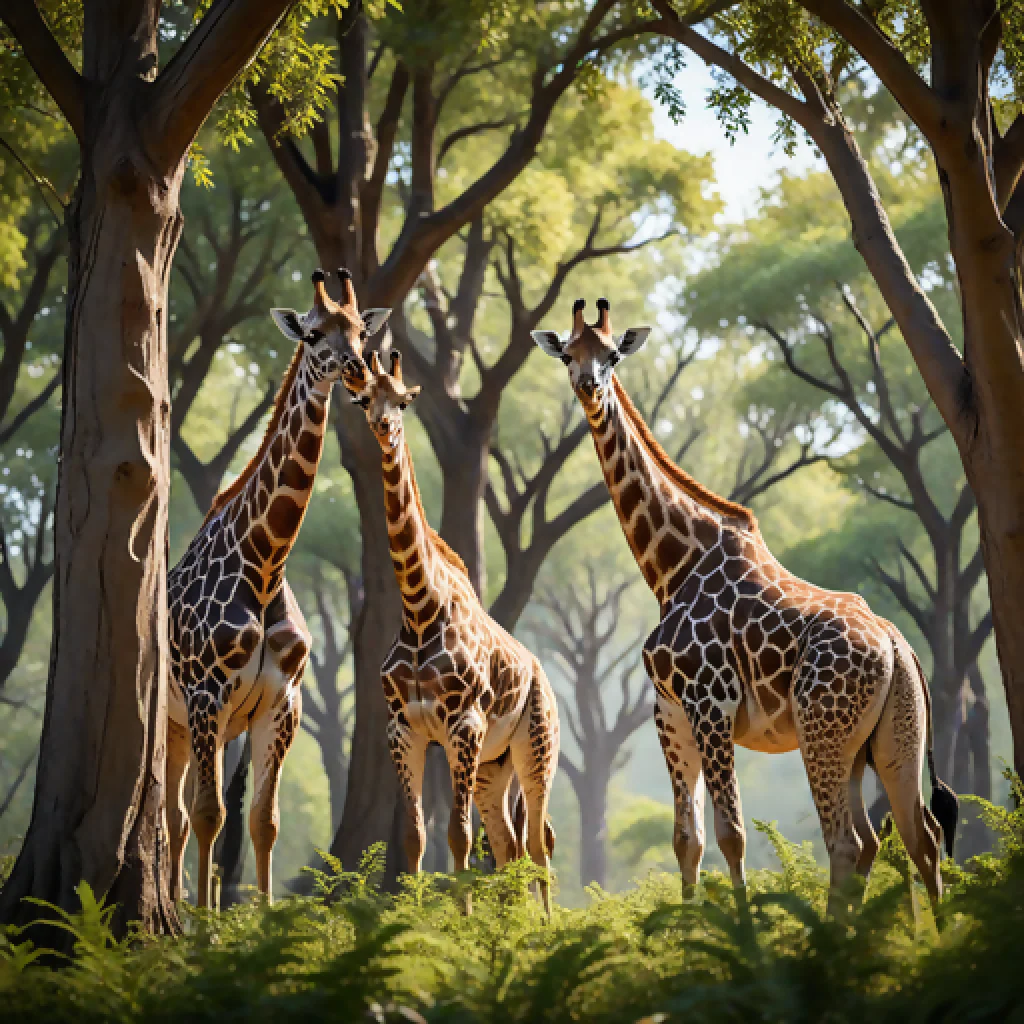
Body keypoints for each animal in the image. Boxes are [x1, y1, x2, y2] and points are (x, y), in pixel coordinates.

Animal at [167, 268, 391, 908]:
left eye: (361, 329)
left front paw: (262, 920)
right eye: (314, 334)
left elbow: (262, 820)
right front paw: (204, 926)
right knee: (178, 815)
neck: (266, 565)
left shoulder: (281, 703)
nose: (357, 368)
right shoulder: (207, 694)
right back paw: (175, 909)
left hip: (201, 727)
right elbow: (210, 814)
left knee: (185, 816)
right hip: (173, 717)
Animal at [343, 350, 560, 914]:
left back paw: (545, 924)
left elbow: (457, 837)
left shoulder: (464, 723)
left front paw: (462, 924)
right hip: (492, 766)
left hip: (535, 745)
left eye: (403, 401)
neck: (420, 609)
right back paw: (515, 922)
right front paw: (418, 924)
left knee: (538, 839)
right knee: (508, 842)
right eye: (364, 399)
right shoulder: (405, 729)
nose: (384, 428)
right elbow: (416, 837)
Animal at [532, 298, 958, 909]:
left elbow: (731, 835)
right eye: (568, 353)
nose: (589, 387)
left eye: (611, 355)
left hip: (822, 731)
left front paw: (741, 928)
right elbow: (687, 841)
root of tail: (899, 647)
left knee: (849, 842)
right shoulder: (670, 713)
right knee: (914, 836)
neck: (671, 566)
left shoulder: (710, 702)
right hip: (889, 740)